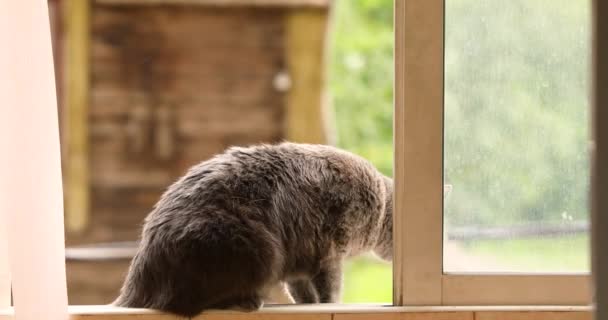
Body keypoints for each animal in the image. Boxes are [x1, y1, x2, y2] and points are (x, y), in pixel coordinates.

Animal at [115, 143, 394, 318]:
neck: (379, 201)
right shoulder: (329, 254)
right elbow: (330, 290)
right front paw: (329, 304)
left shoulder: (300, 262)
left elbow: (303, 294)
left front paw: (310, 304)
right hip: (256, 248)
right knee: (185, 303)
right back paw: (246, 302)